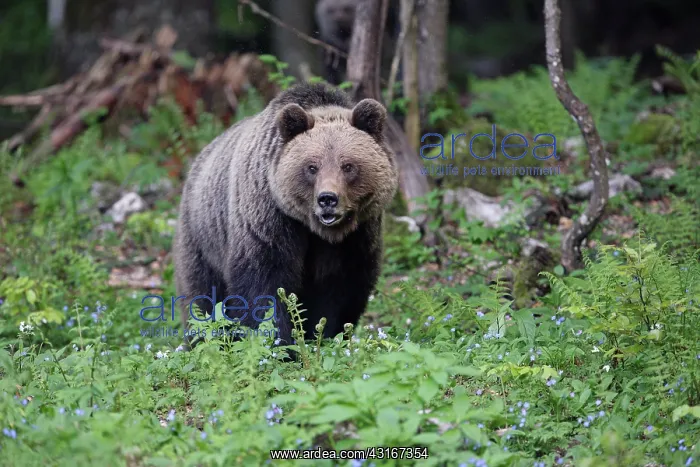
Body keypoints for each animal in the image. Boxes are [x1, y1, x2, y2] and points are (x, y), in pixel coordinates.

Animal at [173, 82, 399, 349]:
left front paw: (325, 336)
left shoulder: (357, 237)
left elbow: (340, 291)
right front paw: (278, 344)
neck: (318, 231)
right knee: (203, 298)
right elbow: (264, 285)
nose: (327, 199)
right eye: (312, 167)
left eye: (348, 166)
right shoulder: (269, 219)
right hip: (203, 240)